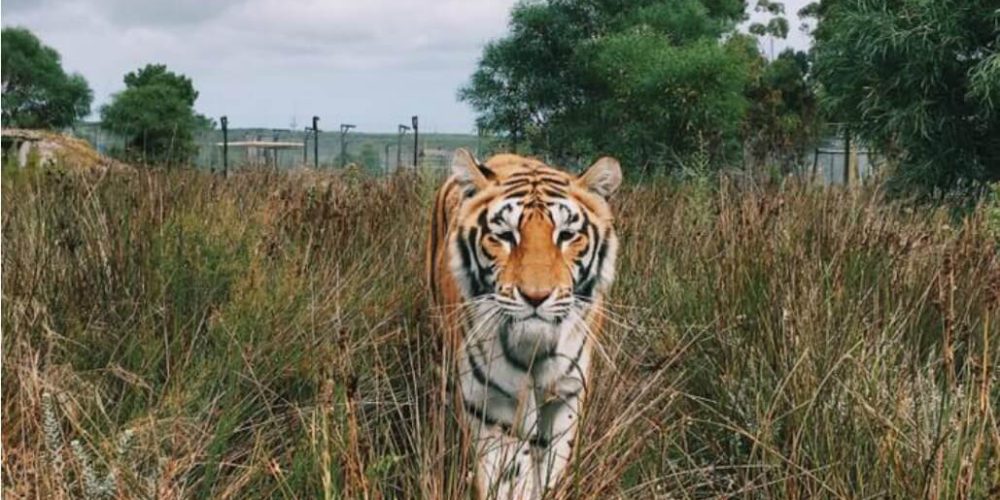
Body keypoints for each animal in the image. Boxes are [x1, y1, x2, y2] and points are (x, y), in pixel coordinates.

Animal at [426, 147, 620, 496]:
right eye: (505, 236)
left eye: (566, 235)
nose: (535, 296)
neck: (534, 351)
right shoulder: (488, 405)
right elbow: (502, 477)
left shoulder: (566, 398)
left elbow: (551, 470)